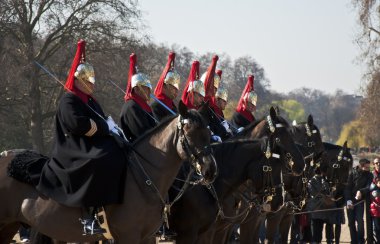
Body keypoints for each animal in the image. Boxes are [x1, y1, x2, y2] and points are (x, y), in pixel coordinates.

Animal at [0, 100, 217, 243]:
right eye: (189, 133)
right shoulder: (128, 236)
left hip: (13, 226)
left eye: (208, 132)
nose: (210, 170)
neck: (144, 179)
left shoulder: (147, 237)